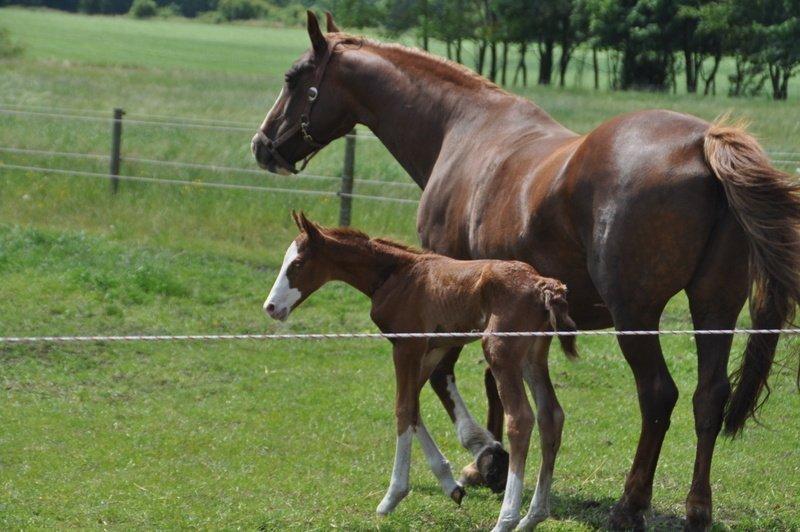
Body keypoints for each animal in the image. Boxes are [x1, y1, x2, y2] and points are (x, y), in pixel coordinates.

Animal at [266, 213, 580, 532]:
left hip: (500, 352)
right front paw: (450, 485)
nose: (271, 307)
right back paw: (532, 516)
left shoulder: (406, 347)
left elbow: (403, 409)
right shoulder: (432, 350)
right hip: (532, 356)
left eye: (297, 264)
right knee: (550, 416)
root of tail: (543, 285)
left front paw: (392, 497)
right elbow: (415, 406)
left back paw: (506, 519)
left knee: (520, 419)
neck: (396, 276)